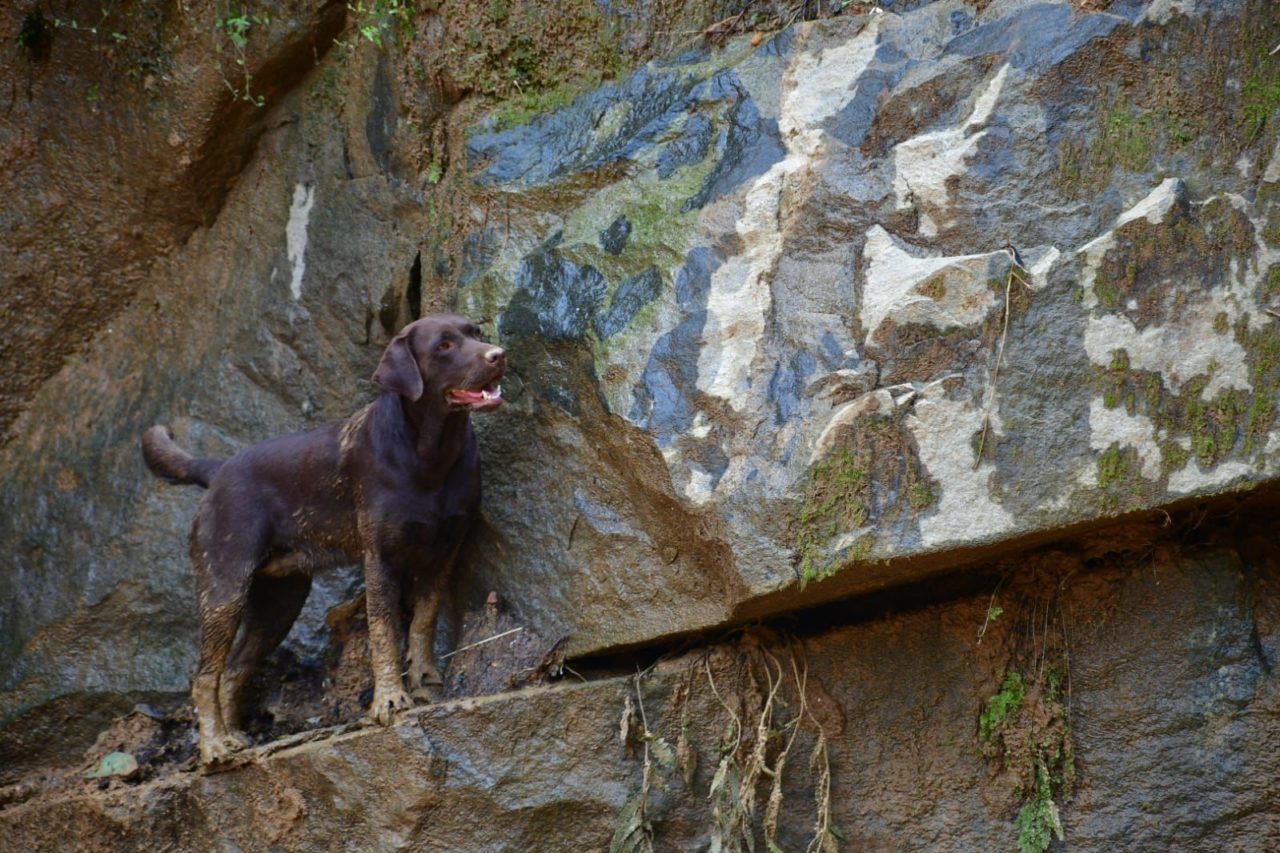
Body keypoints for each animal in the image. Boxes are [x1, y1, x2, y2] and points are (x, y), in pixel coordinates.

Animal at [144, 313, 504, 763]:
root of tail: (218, 469)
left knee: (233, 670)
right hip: (224, 589)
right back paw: (214, 747)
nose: (498, 355)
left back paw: (235, 736)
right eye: (443, 346)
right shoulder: (380, 558)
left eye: (476, 333)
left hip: (280, 602)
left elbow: (423, 620)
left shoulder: (444, 550)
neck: (430, 454)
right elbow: (384, 631)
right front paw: (389, 700)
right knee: (205, 674)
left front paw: (424, 681)